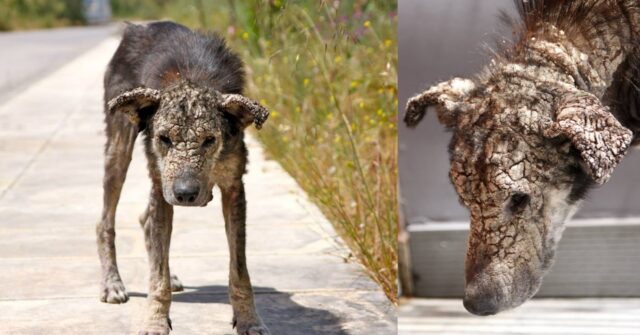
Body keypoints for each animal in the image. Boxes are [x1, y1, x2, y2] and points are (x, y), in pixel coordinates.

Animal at [97, 21, 270, 335]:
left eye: (209, 140)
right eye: (164, 138)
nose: (185, 193)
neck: (192, 78)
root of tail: (136, 27)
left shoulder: (234, 187)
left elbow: (240, 271)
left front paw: (249, 320)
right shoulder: (161, 185)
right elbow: (158, 280)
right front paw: (155, 321)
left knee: (146, 221)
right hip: (119, 148)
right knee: (105, 221)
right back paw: (112, 283)